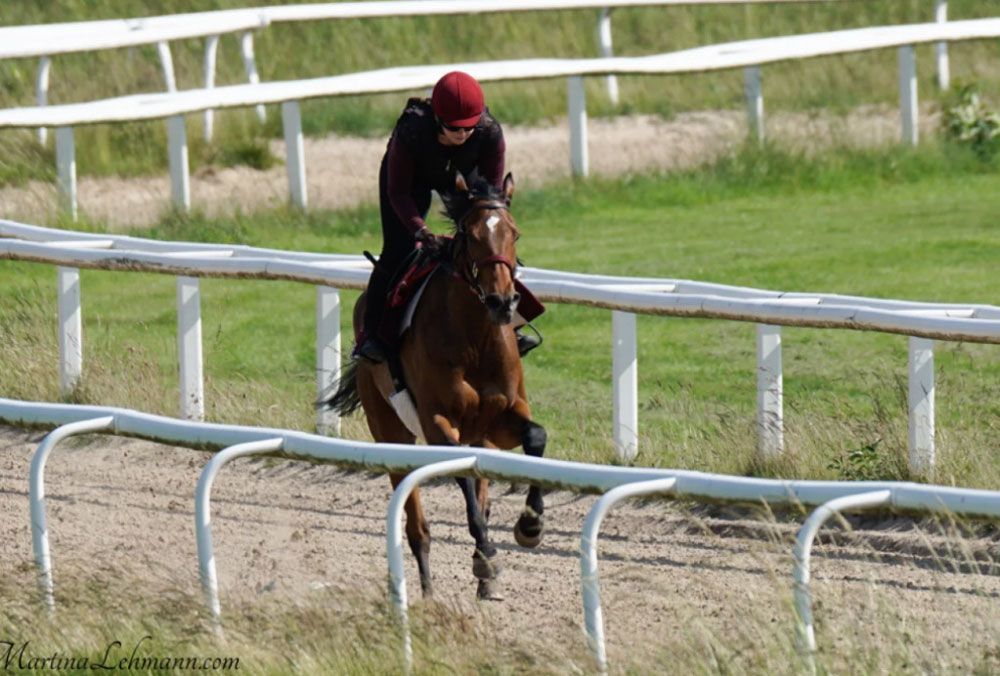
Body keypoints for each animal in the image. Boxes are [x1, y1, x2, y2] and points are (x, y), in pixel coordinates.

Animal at [325, 171, 546, 600]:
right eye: (471, 236)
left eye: (514, 233)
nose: (502, 302)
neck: (475, 340)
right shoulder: (439, 423)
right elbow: (461, 478)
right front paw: (488, 554)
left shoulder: (504, 418)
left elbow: (536, 438)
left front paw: (530, 527)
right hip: (391, 431)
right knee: (416, 525)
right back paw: (429, 590)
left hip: (481, 436)